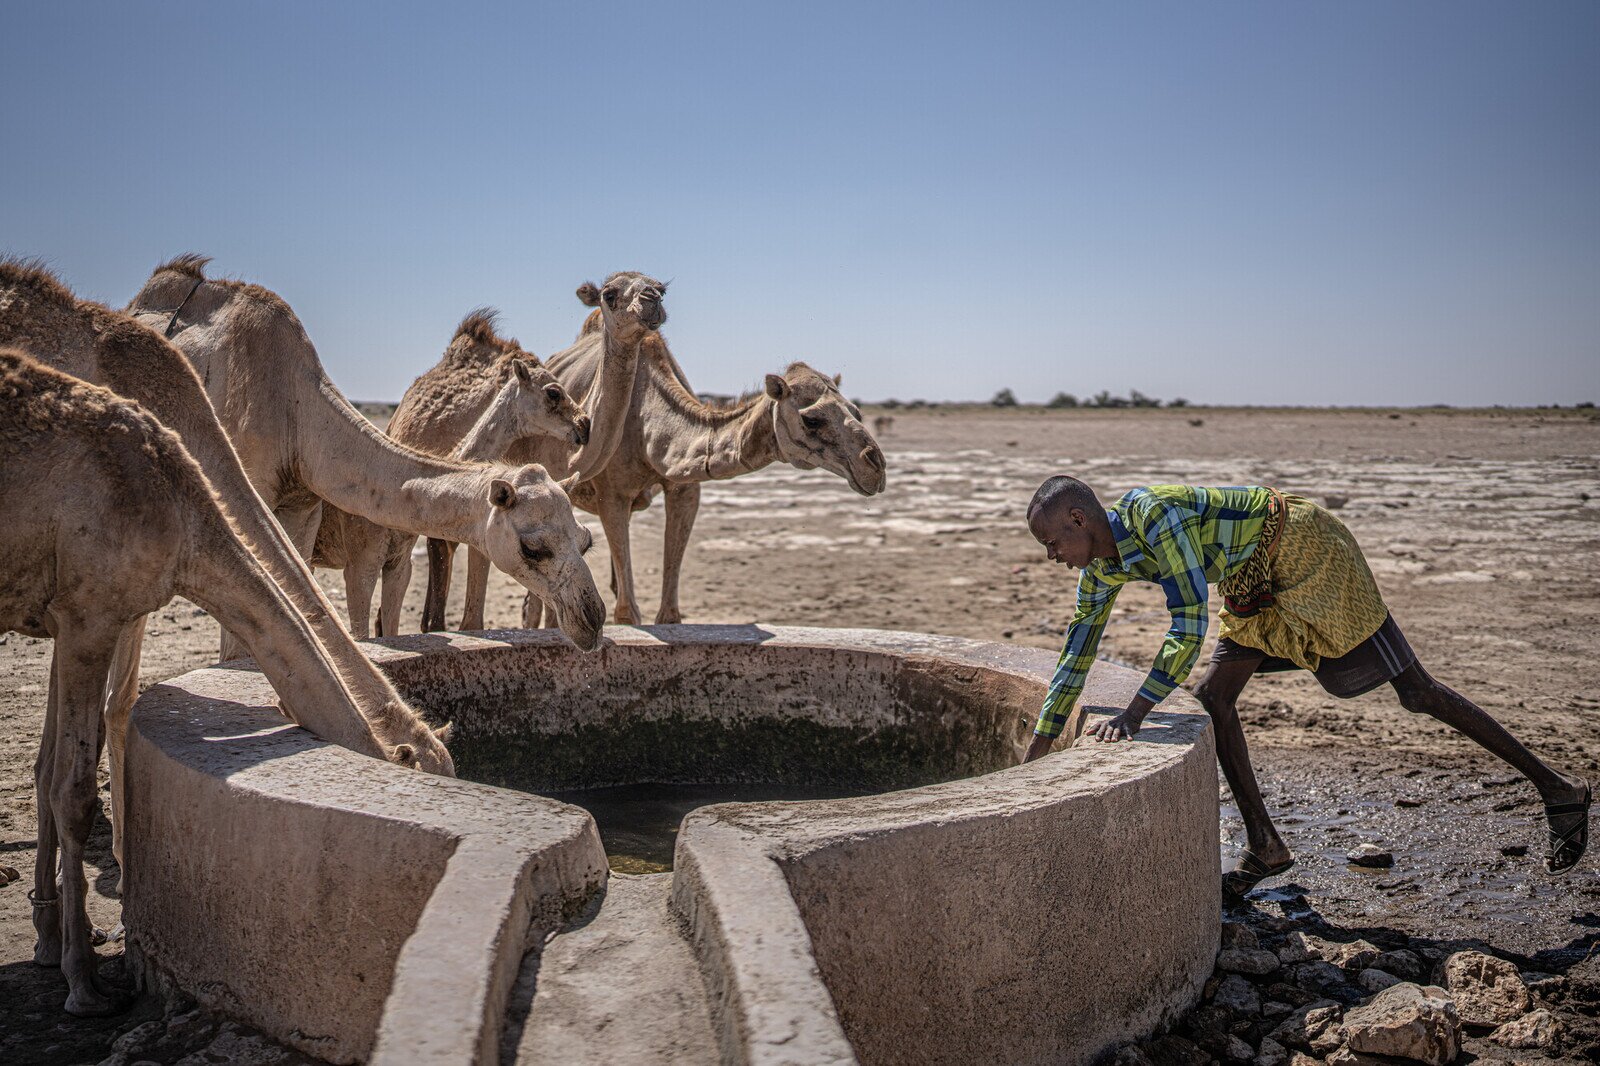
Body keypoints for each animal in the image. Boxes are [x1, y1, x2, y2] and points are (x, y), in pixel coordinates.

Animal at [1, 348, 451, 1011]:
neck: (184, 519)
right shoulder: (90, 613)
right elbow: (73, 789)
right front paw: (83, 982)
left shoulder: (72, 614)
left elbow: (50, 767)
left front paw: (52, 941)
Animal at [528, 323, 889, 624]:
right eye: (812, 419)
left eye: (856, 411)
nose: (875, 466)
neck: (645, 422)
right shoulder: (612, 495)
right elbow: (627, 614)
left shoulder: (685, 490)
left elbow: (670, 613)